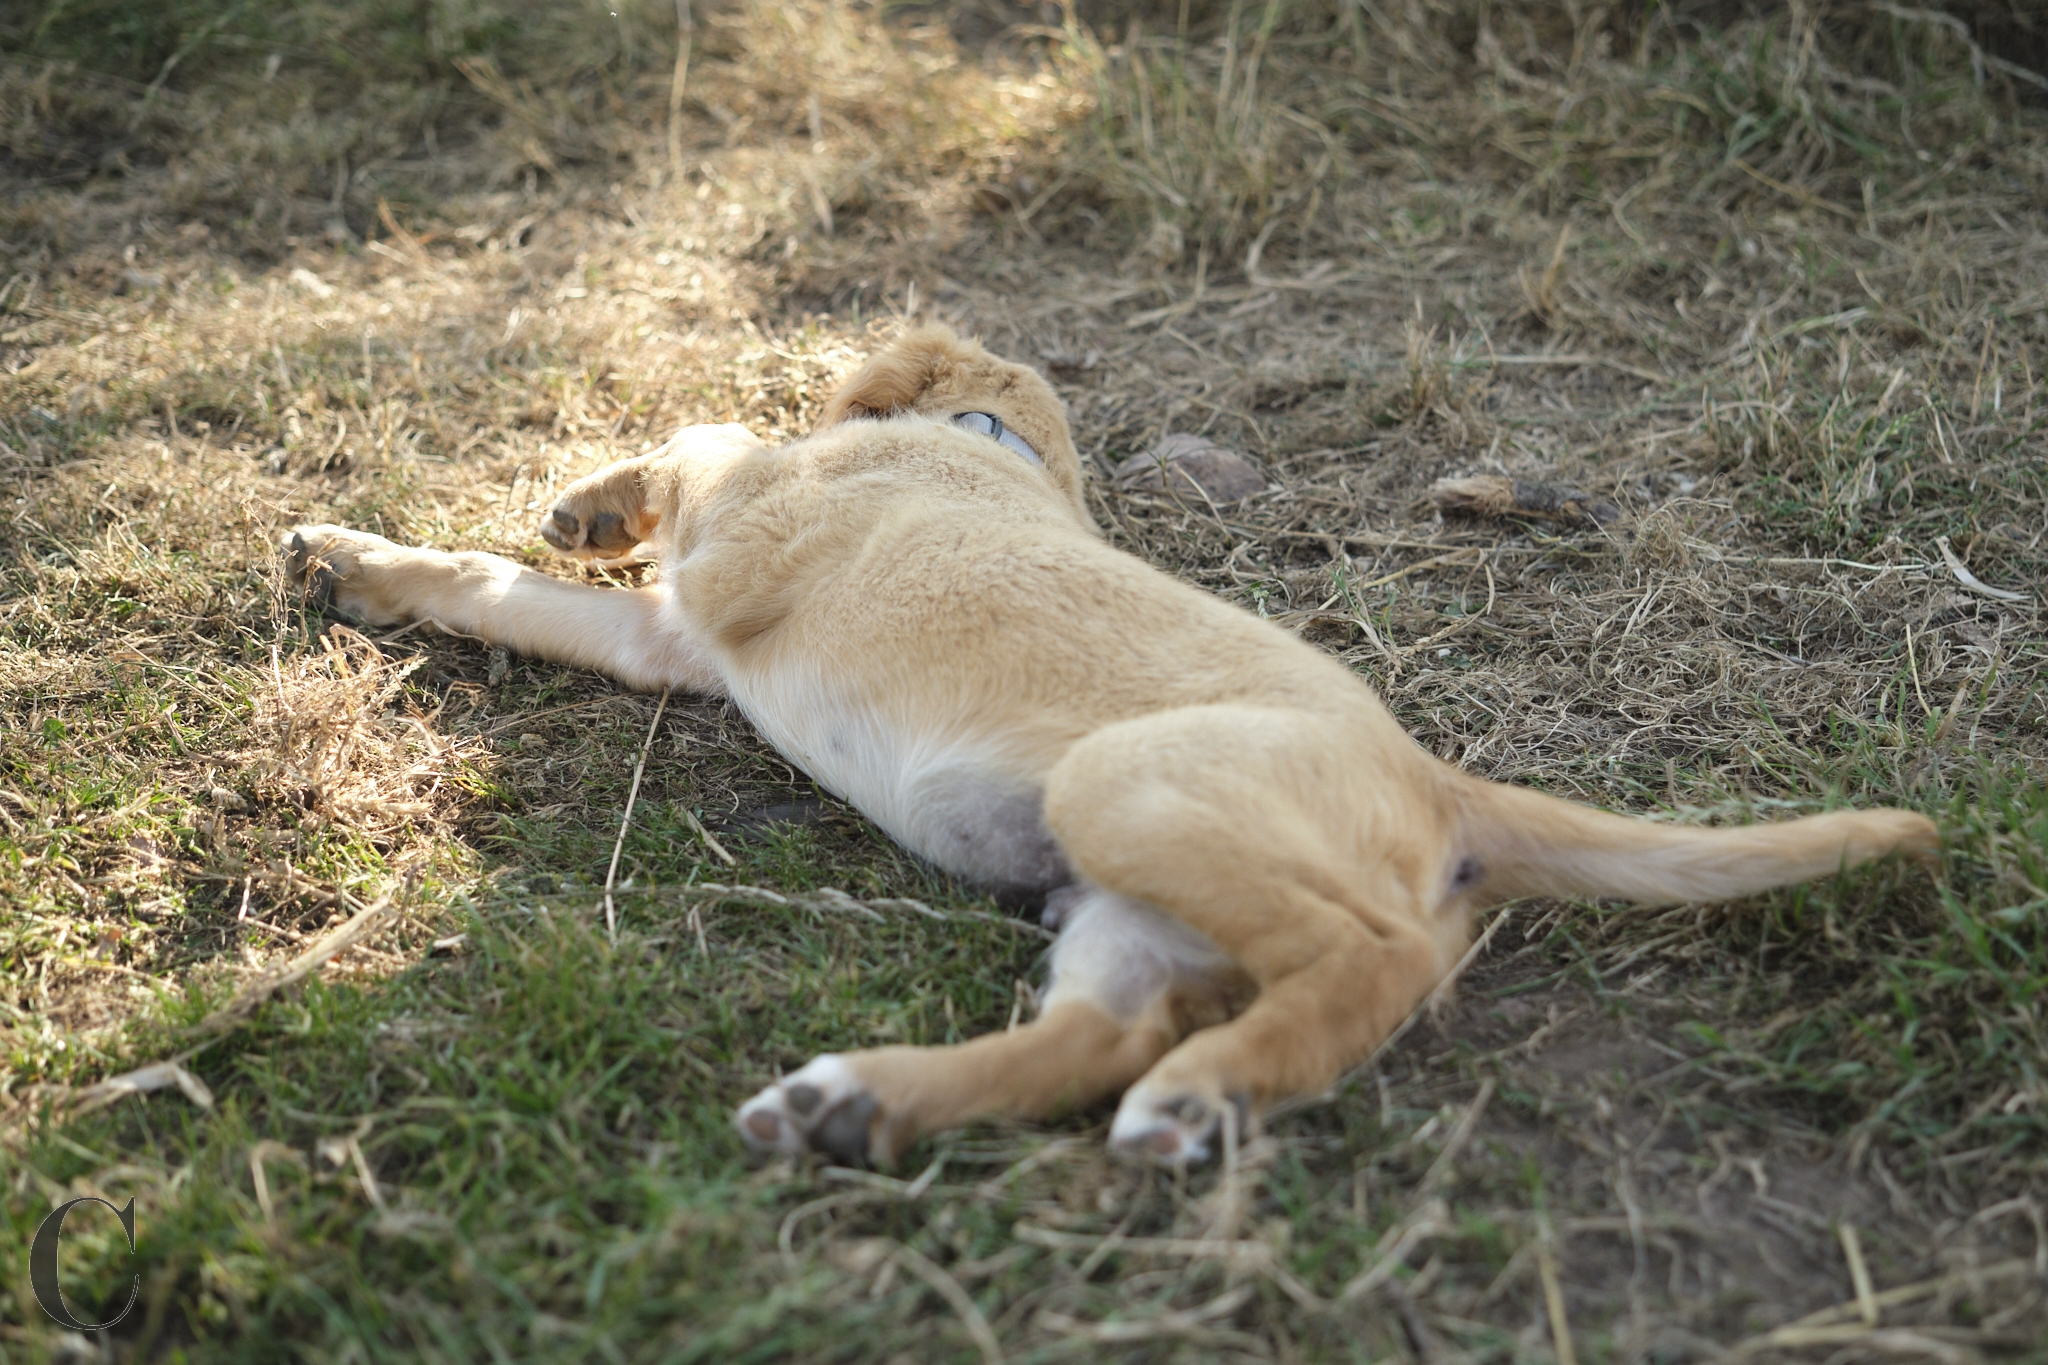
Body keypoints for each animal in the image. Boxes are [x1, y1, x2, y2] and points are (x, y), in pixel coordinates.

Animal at [284, 325, 1933, 1170]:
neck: (1001, 450)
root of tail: (1441, 785)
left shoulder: (748, 537)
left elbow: (708, 440)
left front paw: (596, 498)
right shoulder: (674, 639)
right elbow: (501, 588)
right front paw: (358, 563)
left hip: (1126, 785)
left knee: (1378, 958)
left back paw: (1194, 1103)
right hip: (1124, 912)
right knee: (1100, 1035)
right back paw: (862, 1102)